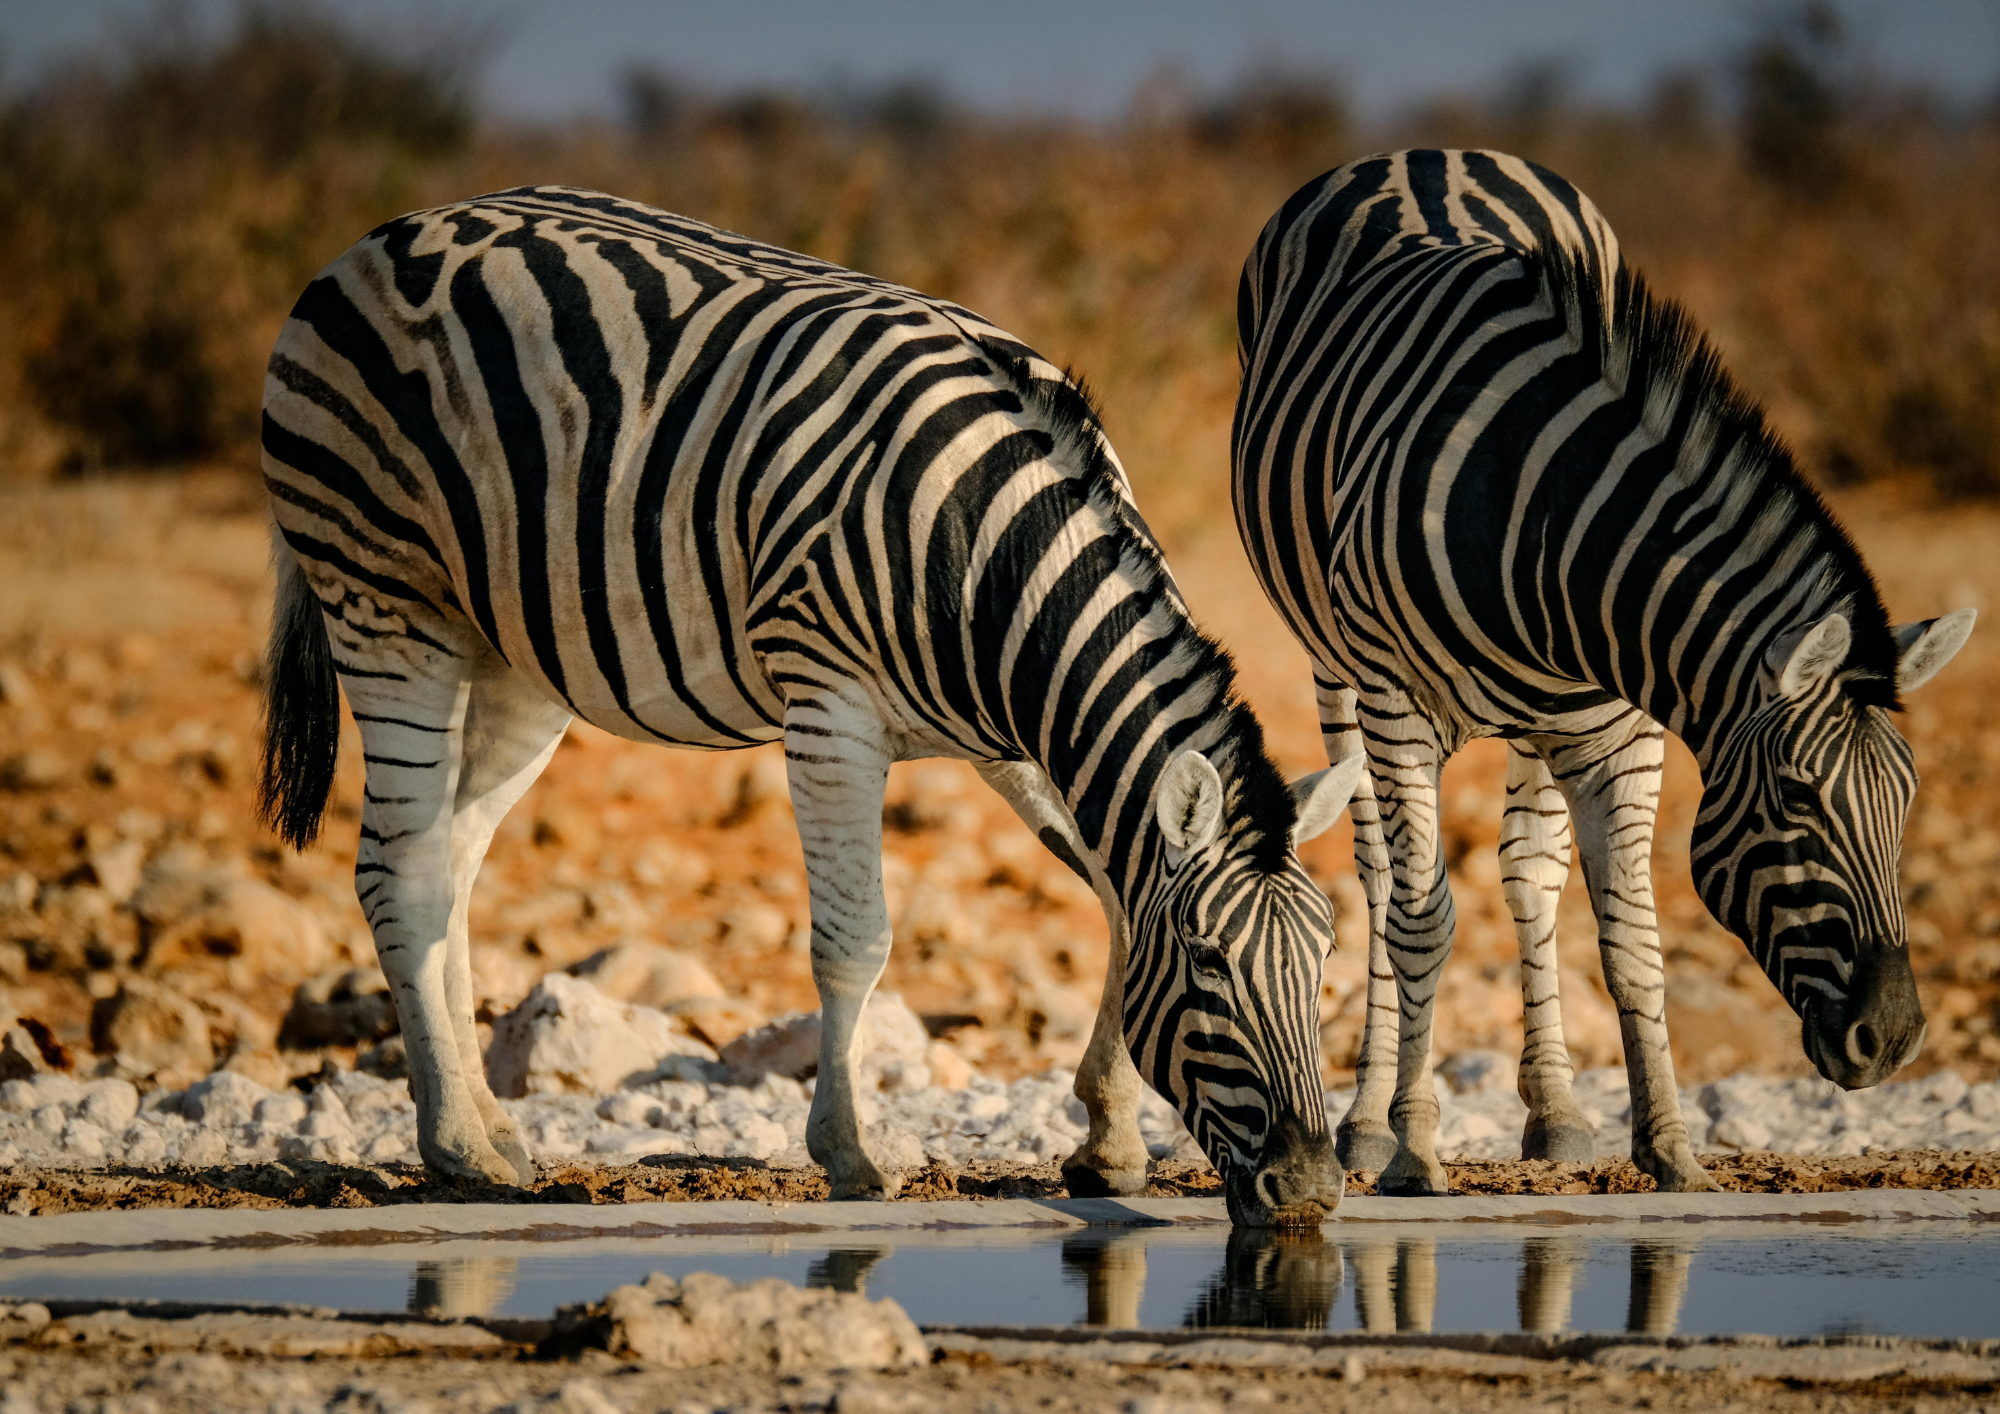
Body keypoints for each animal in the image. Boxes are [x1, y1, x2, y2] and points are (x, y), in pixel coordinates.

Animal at [256, 185, 1364, 1223]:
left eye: (1322, 964)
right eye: (1210, 965)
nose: (1312, 1190)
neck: (989, 555)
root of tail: (378, 238)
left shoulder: (1014, 737)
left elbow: (1114, 895)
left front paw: (1110, 1139)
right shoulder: (831, 709)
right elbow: (855, 941)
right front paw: (850, 1153)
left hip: (511, 651)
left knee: (451, 863)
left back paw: (489, 1130)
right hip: (385, 601)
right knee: (398, 868)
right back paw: (456, 1150)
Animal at [1232, 149, 1975, 1195]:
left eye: (1905, 800)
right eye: (1795, 800)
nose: (1897, 1039)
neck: (1541, 515)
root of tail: (1431, 151)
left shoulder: (1625, 729)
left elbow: (1631, 939)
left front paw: (1670, 1148)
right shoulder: (1396, 703)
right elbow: (1421, 919)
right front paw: (1415, 1150)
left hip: (1545, 724)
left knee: (1529, 875)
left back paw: (1556, 1111)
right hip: (1334, 666)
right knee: (1380, 880)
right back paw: (1370, 1124)